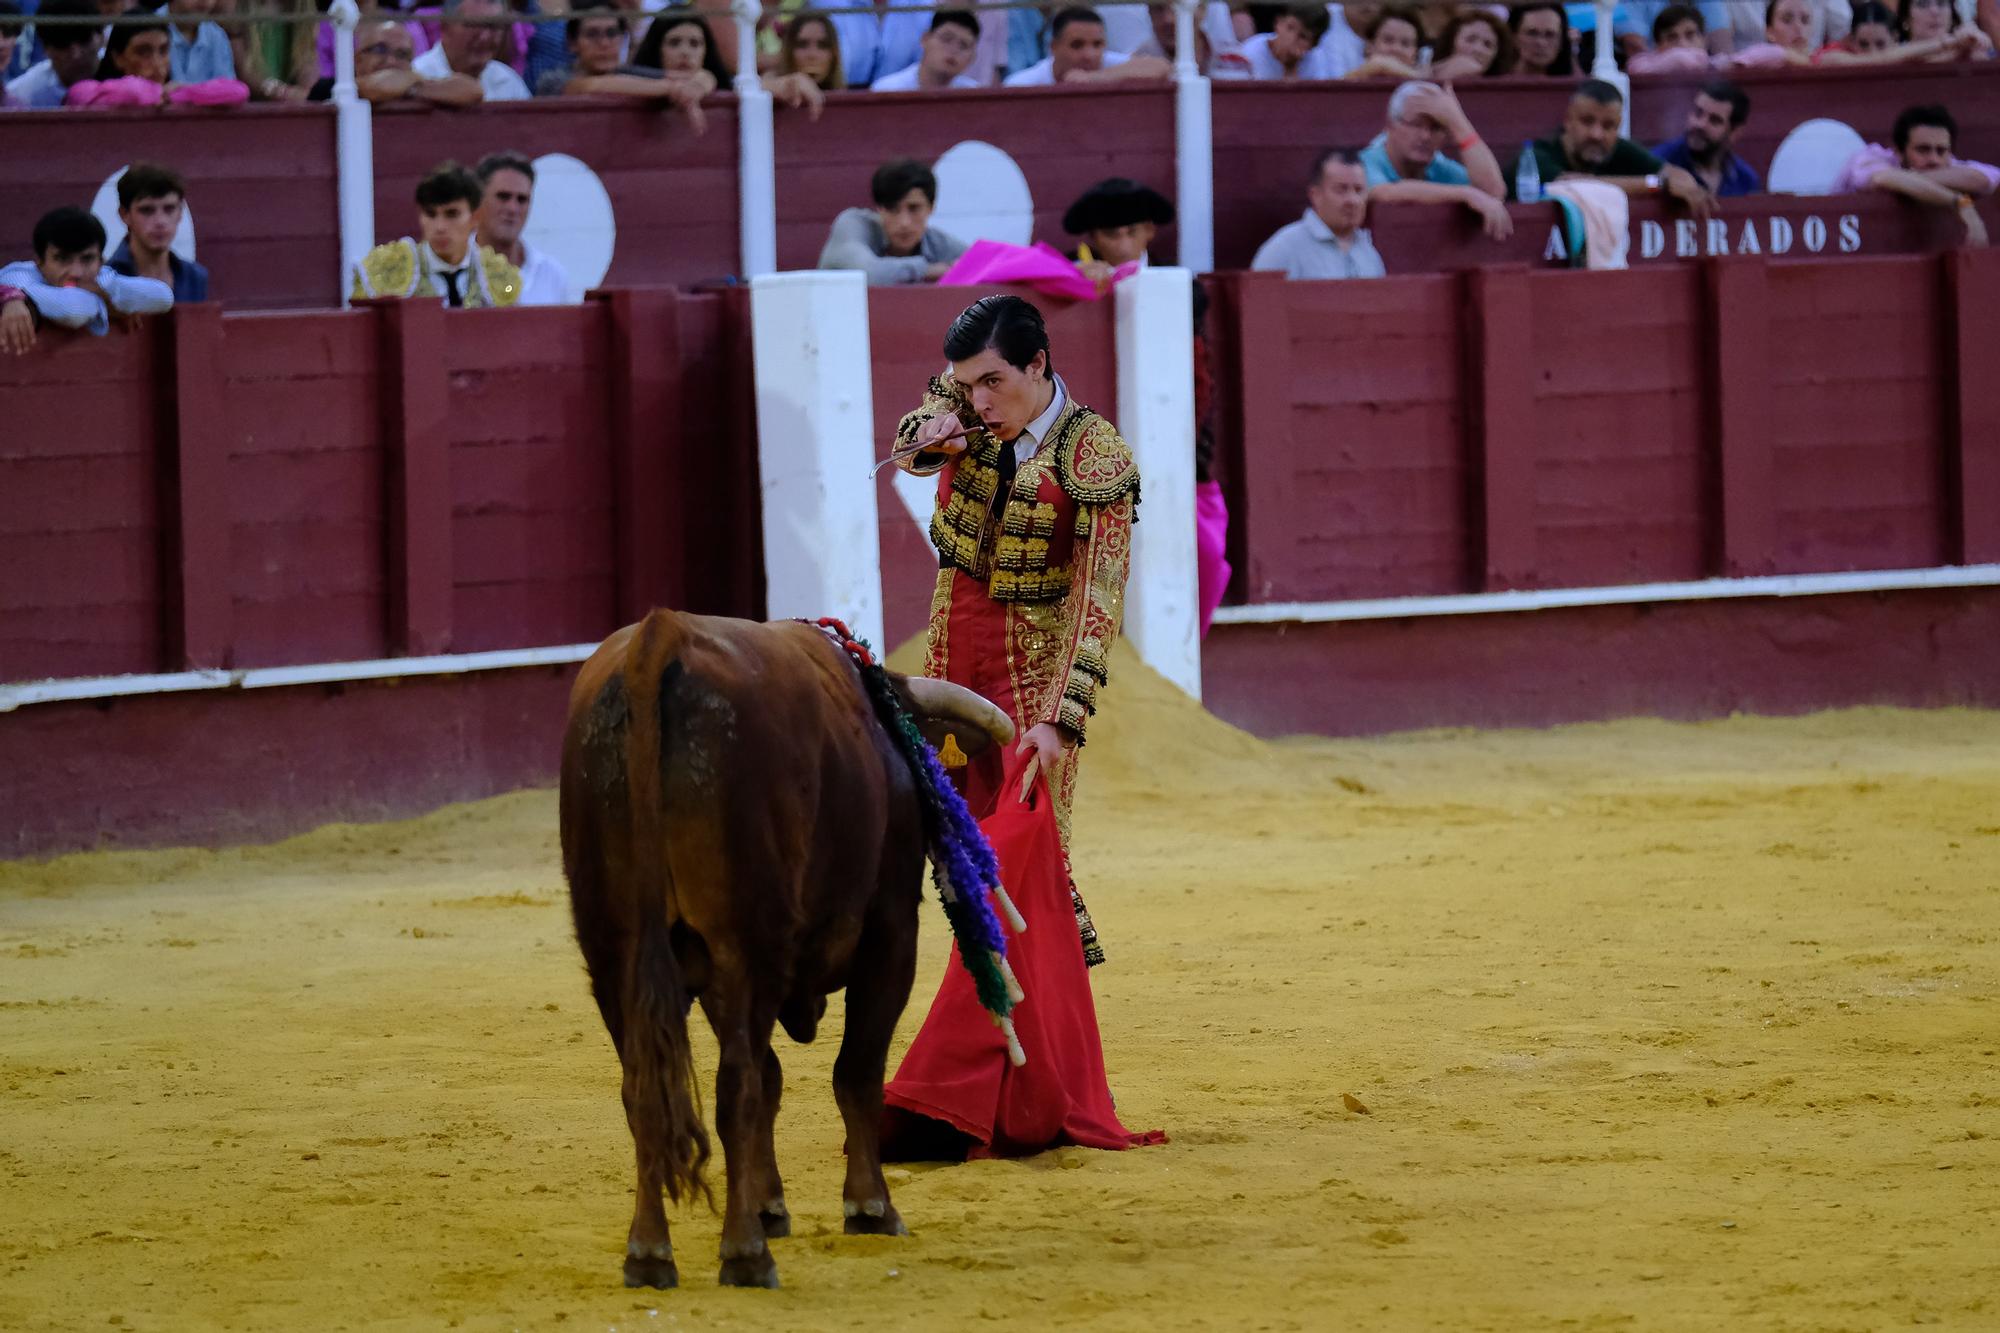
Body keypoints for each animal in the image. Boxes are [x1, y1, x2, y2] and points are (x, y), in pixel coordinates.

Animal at [560, 608, 1016, 1280]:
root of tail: (658, 639)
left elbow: (775, 1077)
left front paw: (770, 1203)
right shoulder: (889, 935)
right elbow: (854, 1072)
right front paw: (869, 1207)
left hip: (612, 952)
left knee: (644, 1089)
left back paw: (649, 1252)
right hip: (745, 943)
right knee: (736, 1087)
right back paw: (744, 1254)